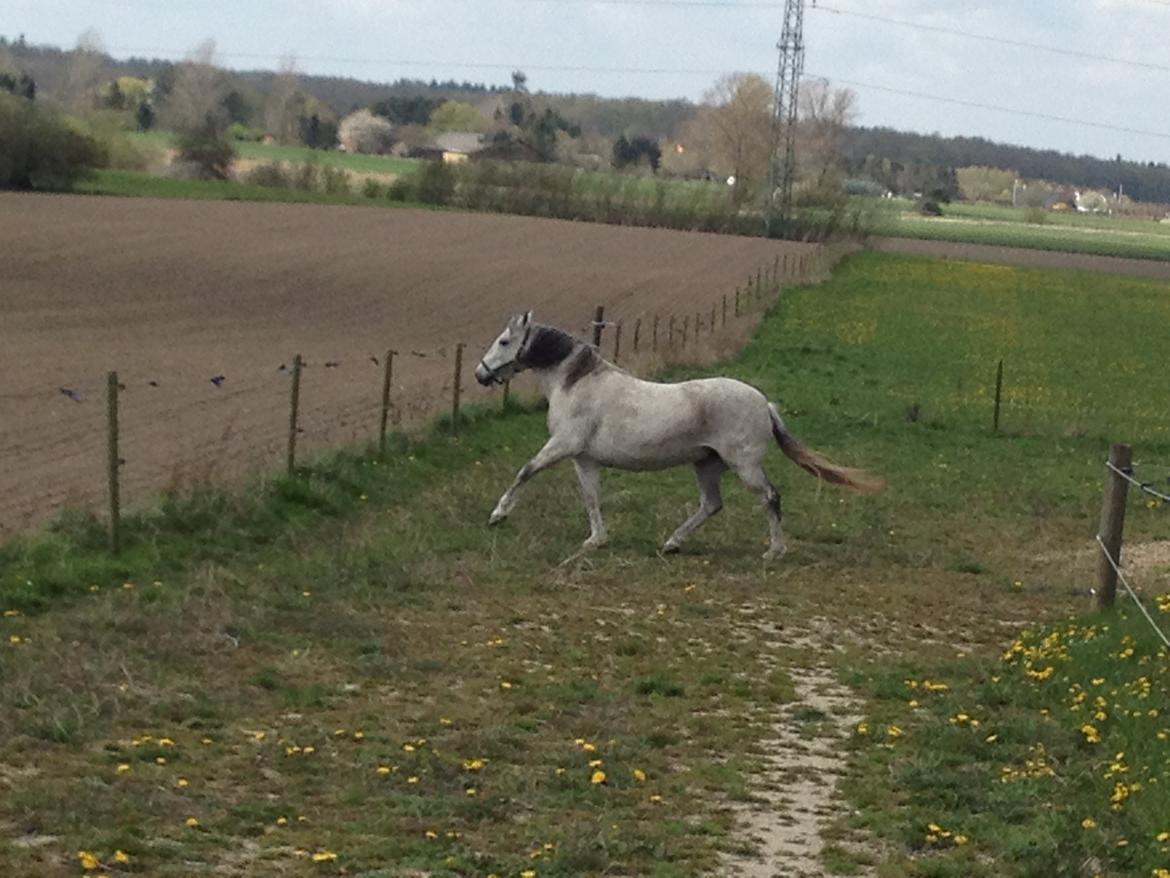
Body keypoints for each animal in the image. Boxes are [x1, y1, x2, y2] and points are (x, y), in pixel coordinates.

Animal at [470, 316, 879, 559]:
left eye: (504, 341)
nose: (479, 374)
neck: (576, 382)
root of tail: (765, 404)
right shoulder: (584, 458)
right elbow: (591, 497)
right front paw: (596, 540)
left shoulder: (563, 446)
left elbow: (525, 472)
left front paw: (497, 516)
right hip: (706, 464)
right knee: (712, 504)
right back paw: (672, 543)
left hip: (744, 465)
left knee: (770, 497)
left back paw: (774, 552)